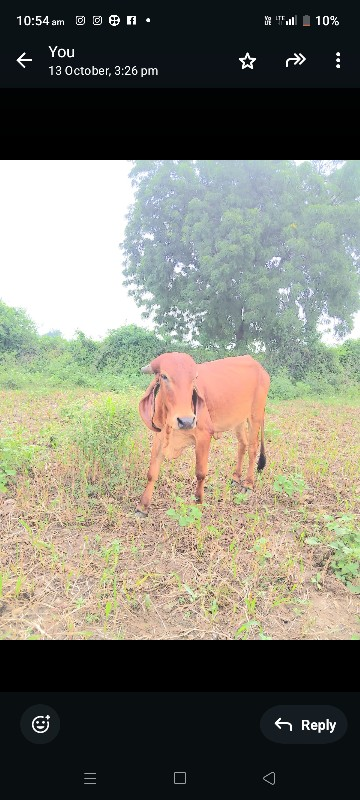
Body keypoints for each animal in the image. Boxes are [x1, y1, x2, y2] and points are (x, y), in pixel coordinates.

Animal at [138, 354, 270, 516]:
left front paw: (198, 502)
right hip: (238, 420)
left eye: (194, 379)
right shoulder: (159, 436)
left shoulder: (204, 436)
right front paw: (142, 506)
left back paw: (248, 484)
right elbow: (152, 472)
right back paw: (235, 477)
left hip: (255, 415)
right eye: (164, 376)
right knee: (242, 444)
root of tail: (259, 367)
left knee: (252, 448)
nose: (186, 421)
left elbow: (200, 473)